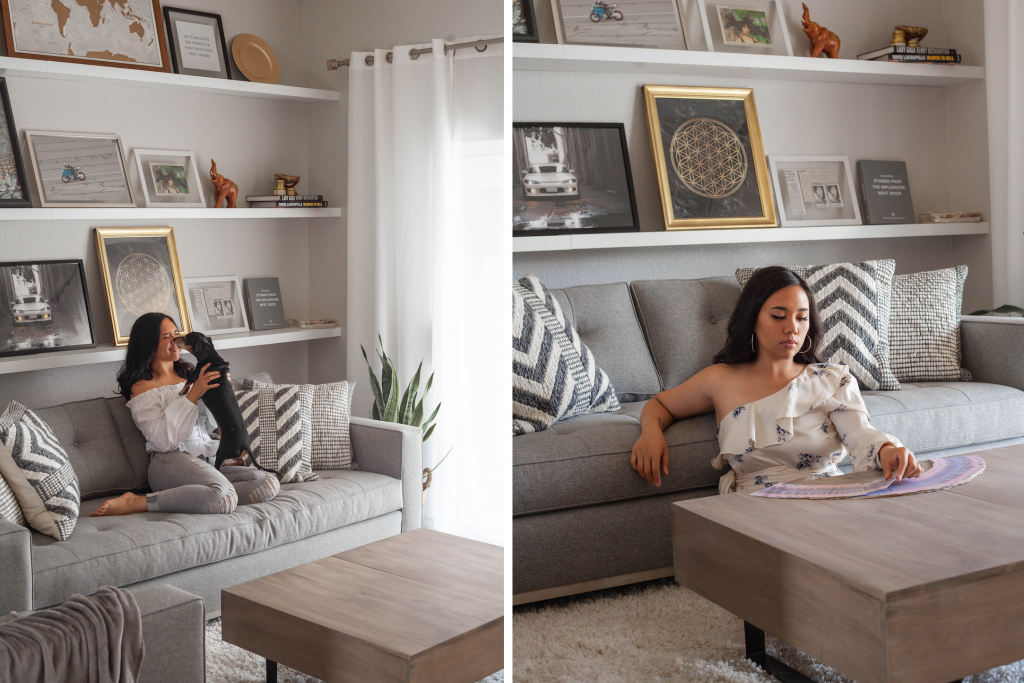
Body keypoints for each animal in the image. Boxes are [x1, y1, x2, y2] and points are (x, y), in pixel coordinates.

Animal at [176, 331, 272, 473]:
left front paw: (183, 391)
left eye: (186, 338)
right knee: (241, 461)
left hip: (222, 451)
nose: (174, 338)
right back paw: (227, 464)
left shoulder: (196, 376)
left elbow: (188, 381)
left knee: (220, 466)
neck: (212, 358)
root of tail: (246, 445)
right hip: (234, 453)